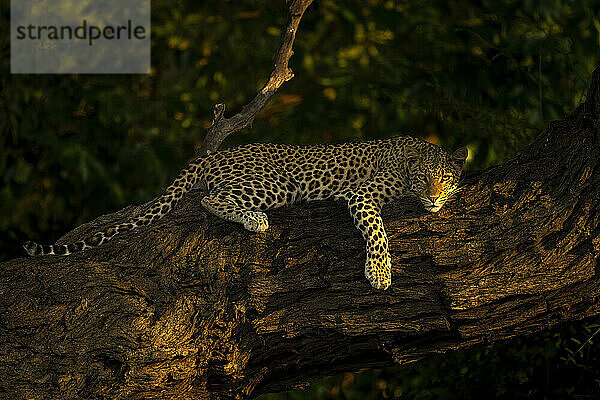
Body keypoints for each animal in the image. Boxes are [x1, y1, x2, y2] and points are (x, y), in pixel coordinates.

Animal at [23, 136, 466, 290]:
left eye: (444, 179)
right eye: (424, 177)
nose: (433, 198)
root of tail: (213, 154)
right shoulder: (362, 194)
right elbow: (377, 232)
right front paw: (379, 272)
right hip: (277, 182)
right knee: (209, 199)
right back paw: (255, 220)